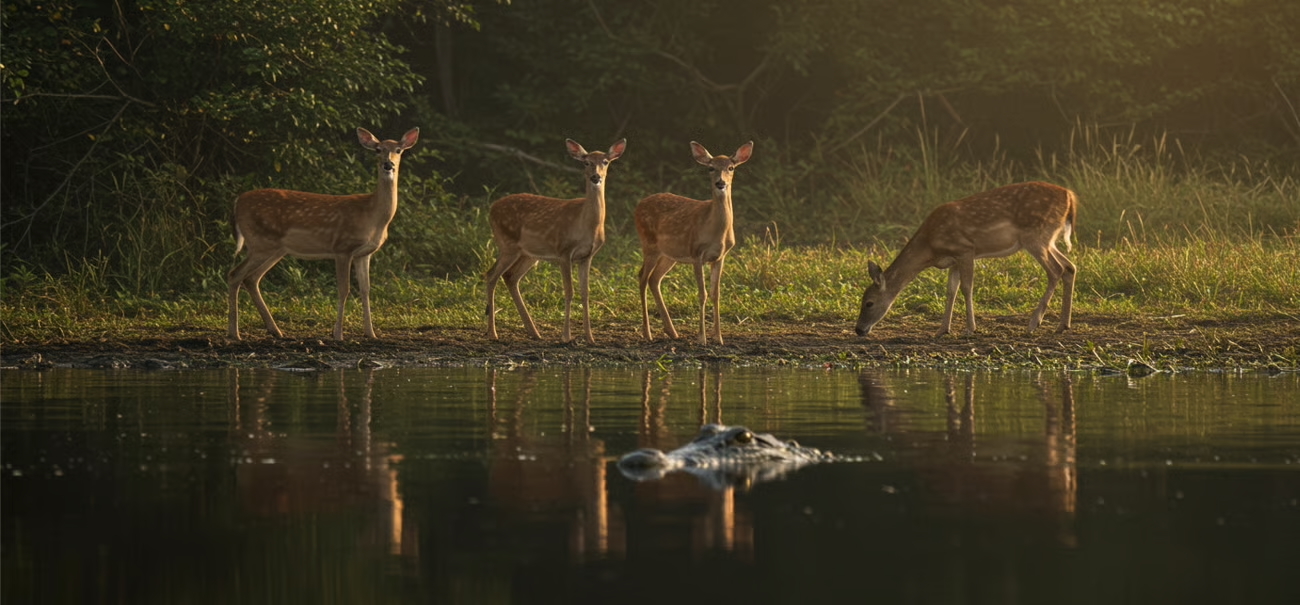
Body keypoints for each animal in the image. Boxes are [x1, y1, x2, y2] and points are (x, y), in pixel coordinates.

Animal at [227, 127, 420, 341]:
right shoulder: (342, 247)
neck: (372, 215)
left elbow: (366, 290)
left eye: (399, 150)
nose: (388, 164)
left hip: (275, 249)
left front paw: (371, 333)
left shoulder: (364, 253)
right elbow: (344, 290)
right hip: (260, 242)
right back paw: (234, 333)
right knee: (235, 274)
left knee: (251, 279)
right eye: (378, 149)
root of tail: (237, 202)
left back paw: (275, 330)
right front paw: (338, 334)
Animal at [485, 138, 627, 344]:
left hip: (529, 254)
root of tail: (491, 208)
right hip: (507, 244)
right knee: (491, 275)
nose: (595, 177)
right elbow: (569, 291)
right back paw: (493, 333)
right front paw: (566, 337)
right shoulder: (564, 251)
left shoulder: (587, 256)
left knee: (510, 276)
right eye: (586, 162)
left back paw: (534, 332)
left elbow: (585, 293)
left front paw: (590, 337)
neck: (586, 225)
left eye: (605, 162)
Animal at [635, 141, 754, 346]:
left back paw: (672, 332)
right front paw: (702, 338)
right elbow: (702, 293)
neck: (716, 232)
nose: (720, 183)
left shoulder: (720, 257)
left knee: (654, 278)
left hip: (669, 254)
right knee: (642, 276)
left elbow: (715, 294)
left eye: (730, 168)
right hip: (649, 244)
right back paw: (647, 333)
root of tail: (638, 205)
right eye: (710, 168)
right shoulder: (696, 253)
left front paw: (719, 337)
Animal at [854, 181, 1077, 338]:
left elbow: (966, 287)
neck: (930, 246)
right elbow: (950, 290)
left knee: (1056, 270)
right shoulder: (953, 260)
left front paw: (970, 329)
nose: (858, 330)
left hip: (1035, 235)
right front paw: (942, 329)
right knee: (1070, 267)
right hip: (1048, 239)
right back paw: (1062, 325)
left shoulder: (965, 249)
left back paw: (1033, 324)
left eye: (869, 303)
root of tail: (1070, 196)